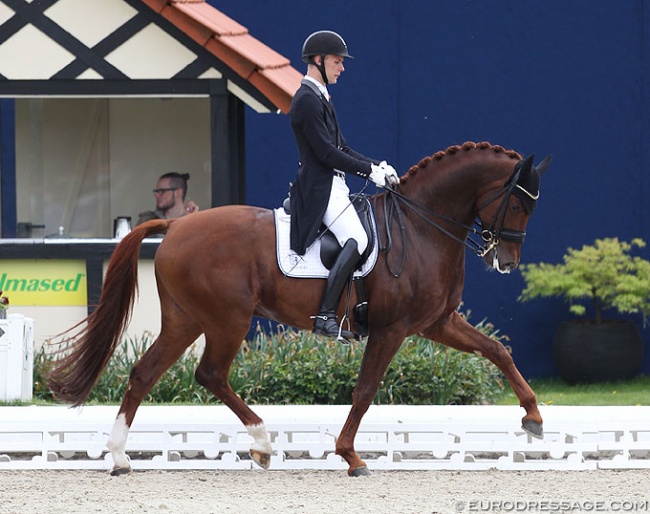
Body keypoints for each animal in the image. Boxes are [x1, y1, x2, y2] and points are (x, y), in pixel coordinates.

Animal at [48, 141, 548, 476]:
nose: (505, 261)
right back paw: (263, 443)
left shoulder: (437, 323)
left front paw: (533, 417)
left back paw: (120, 456)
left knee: (145, 374)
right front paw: (351, 456)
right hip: (228, 320)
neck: (420, 226)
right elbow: (365, 391)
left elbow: (497, 351)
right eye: (518, 203)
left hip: (185, 320)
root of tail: (176, 225)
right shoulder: (391, 330)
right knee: (209, 374)